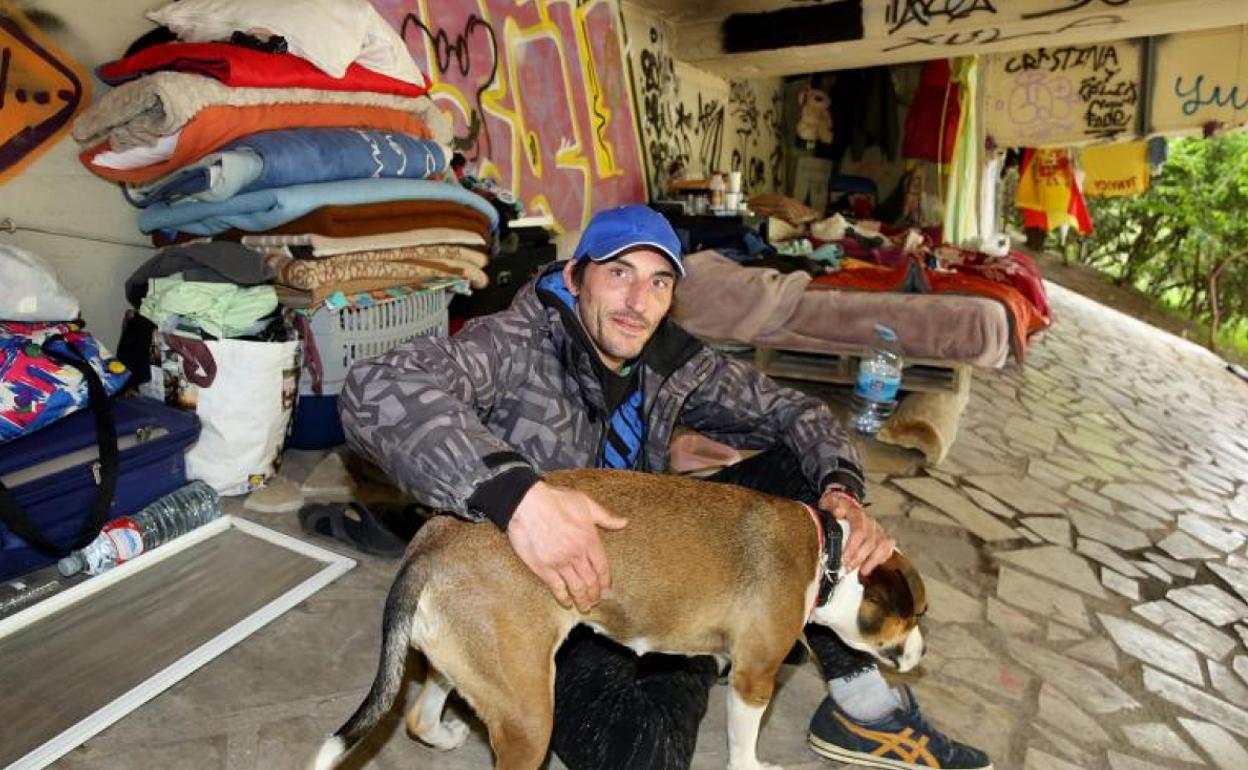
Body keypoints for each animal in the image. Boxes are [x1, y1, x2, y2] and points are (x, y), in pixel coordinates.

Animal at [307, 464, 923, 768]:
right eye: (917, 613)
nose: (923, 653)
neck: (828, 554)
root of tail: (432, 543)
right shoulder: (755, 678)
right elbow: (743, 746)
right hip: (530, 716)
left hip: (466, 665)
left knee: (418, 716)